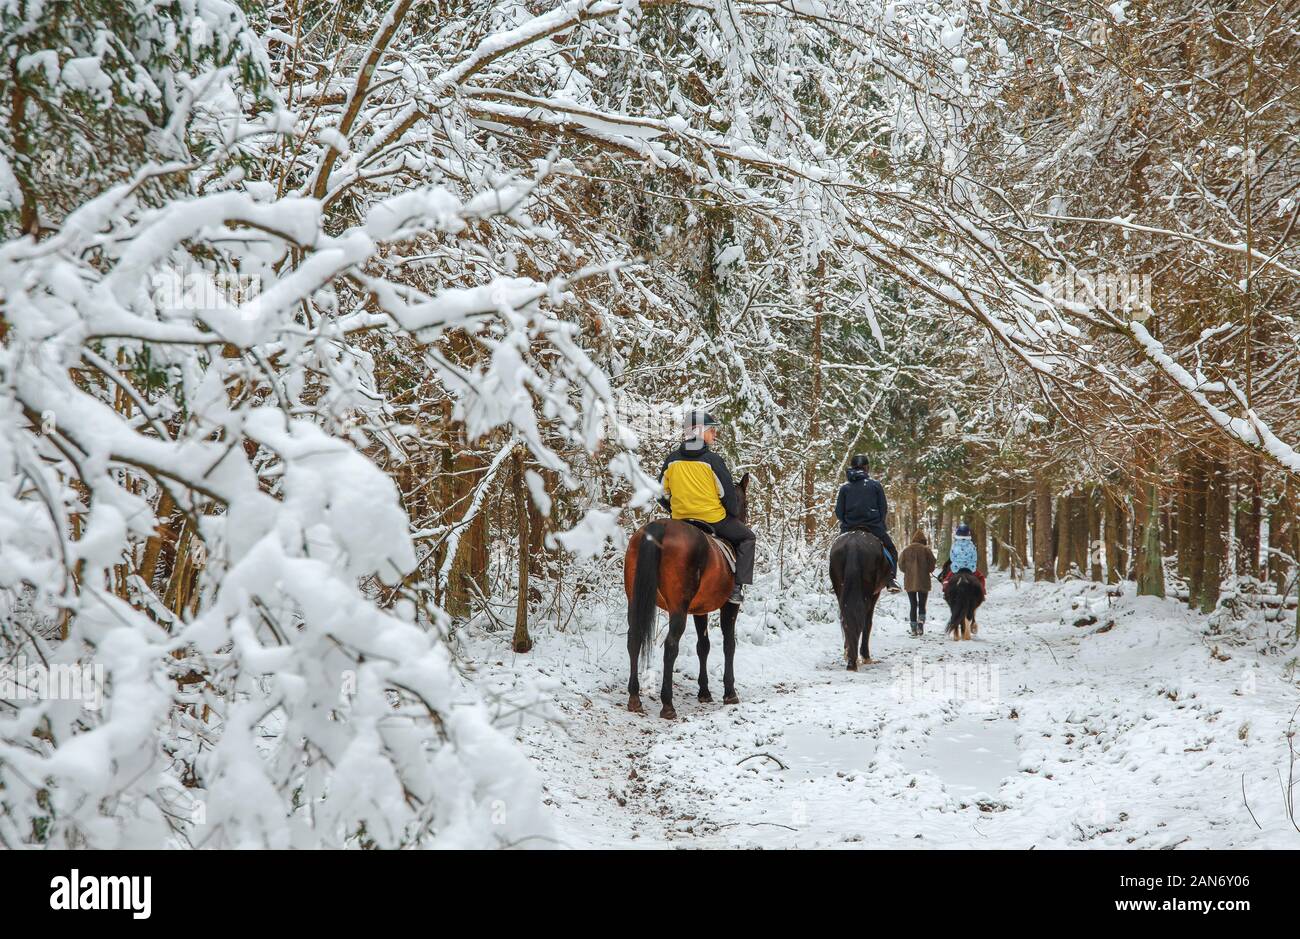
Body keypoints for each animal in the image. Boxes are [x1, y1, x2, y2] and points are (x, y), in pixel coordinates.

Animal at [621, 470, 748, 723]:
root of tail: (659, 528)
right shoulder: (729, 607)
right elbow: (729, 644)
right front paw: (729, 692)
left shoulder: (700, 609)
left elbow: (703, 645)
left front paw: (704, 691)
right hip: (678, 607)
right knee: (671, 646)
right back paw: (667, 704)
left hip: (635, 600)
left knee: (634, 638)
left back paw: (635, 698)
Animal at [826, 530, 889, 671]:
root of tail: (853, 545)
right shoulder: (874, 595)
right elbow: (868, 623)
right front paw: (866, 657)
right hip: (868, 594)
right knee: (864, 621)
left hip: (840, 589)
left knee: (845, 619)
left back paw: (850, 657)